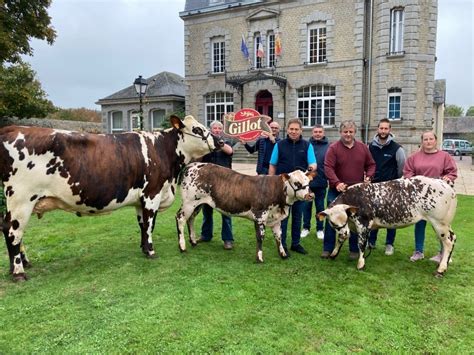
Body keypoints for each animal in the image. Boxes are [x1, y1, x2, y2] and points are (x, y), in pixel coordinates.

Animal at [0, 115, 222, 282]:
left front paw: (143, 248)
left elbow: (142, 225)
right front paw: (151, 252)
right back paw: (19, 272)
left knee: (8, 228)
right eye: (198, 129)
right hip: (21, 199)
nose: (220, 141)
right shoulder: (152, 194)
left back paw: (22, 263)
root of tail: (11, 128)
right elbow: (150, 224)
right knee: (13, 230)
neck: (163, 150)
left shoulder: (140, 199)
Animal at [174, 163, 314, 262]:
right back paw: (182, 247)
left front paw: (283, 254)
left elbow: (278, 237)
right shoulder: (260, 216)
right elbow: (260, 237)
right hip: (189, 202)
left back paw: (193, 241)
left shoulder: (276, 219)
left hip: (198, 204)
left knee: (190, 219)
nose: (310, 195)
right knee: (180, 218)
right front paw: (259, 258)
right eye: (297, 183)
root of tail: (192, 165)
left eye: (308, 182)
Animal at [316, 177, 458, 278]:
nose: (345, 233)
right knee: (449, 240)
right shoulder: (347, 227)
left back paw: (441, 269)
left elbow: (361, 244)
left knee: (448, 242)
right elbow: (340, 239)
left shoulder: (363, 224)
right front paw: (333, 254)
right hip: (442, 224)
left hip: (439, 222)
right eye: (333, 223)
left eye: (344, 219)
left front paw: (361, 264)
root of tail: (446, 186)